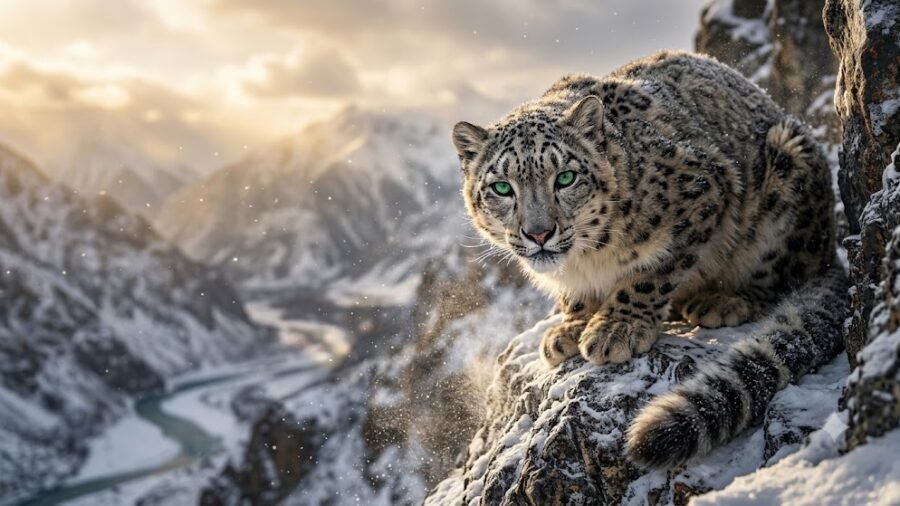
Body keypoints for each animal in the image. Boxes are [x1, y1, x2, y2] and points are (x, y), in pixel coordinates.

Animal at [451, 51, 849, 469]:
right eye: (502, 187)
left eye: (566, 178)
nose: (539, 233)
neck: (586, 260)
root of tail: (830, 245)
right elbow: (577, 296)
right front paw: (572, 326)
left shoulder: (701, 193)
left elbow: (650, 274)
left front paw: (616, 329)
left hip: (786, 183)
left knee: (780, 277)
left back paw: (721, 301)